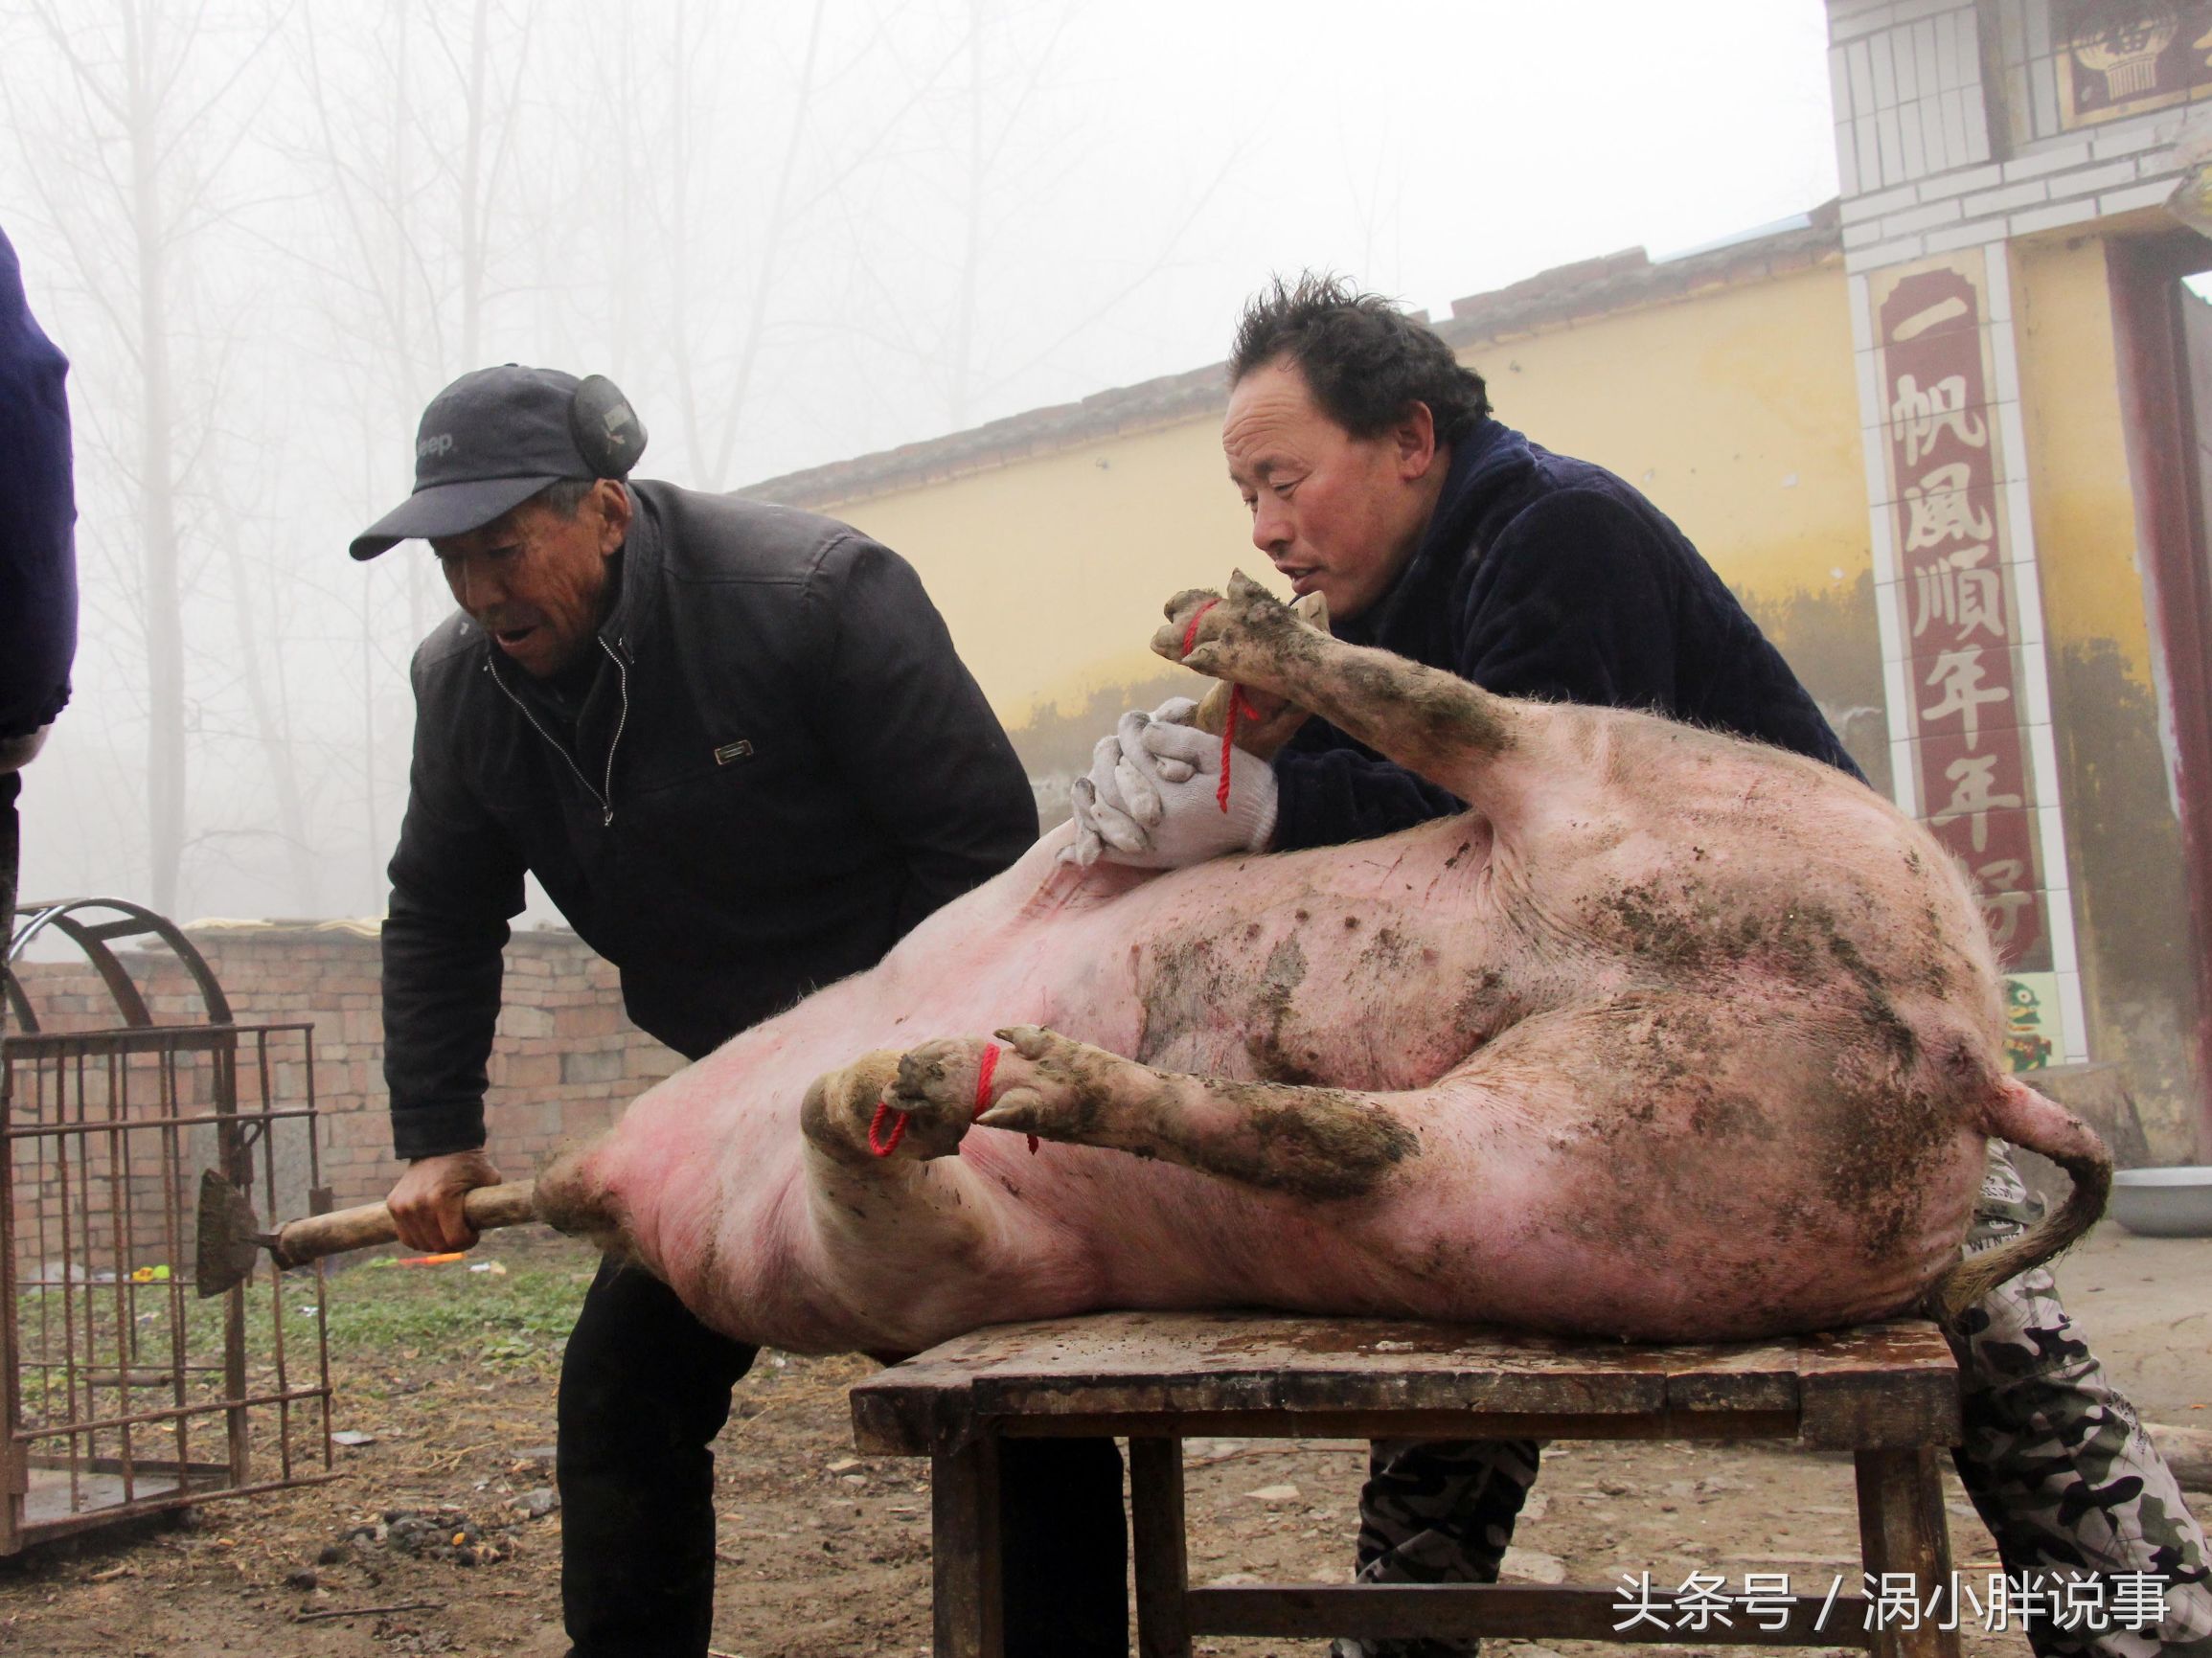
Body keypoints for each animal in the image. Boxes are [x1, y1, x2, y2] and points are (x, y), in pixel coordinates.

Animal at [539, 579, 2106, 1352]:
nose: (567, 1183)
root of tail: (1965, 1056)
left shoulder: (913, 1269)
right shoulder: (945, 1265)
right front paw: (909, 1091)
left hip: (1629, 804)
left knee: (1452, 714)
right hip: (1619, 1166)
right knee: (1354, 1140)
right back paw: (1003, 1081)